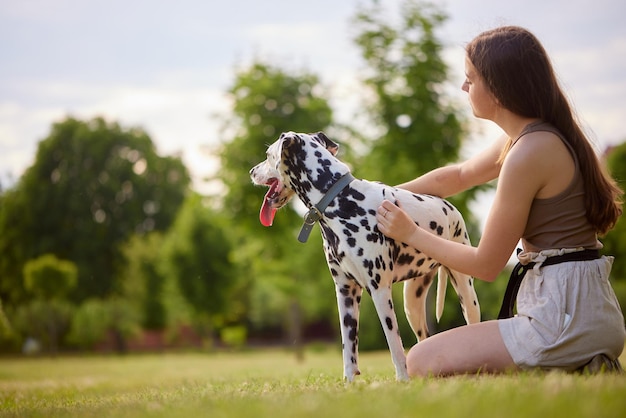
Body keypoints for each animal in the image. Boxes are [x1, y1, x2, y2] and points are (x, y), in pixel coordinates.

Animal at [249, 132, 478, 380]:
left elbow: (395, 346)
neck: (340, 201)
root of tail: (448, 206)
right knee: (423, 338)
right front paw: (349, 382)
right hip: (412, 302)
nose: (251, 171)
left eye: (267, 155)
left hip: (466, 293)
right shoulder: (345, 292)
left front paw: (402, 380)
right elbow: (348, 349)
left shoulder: (380, 290)